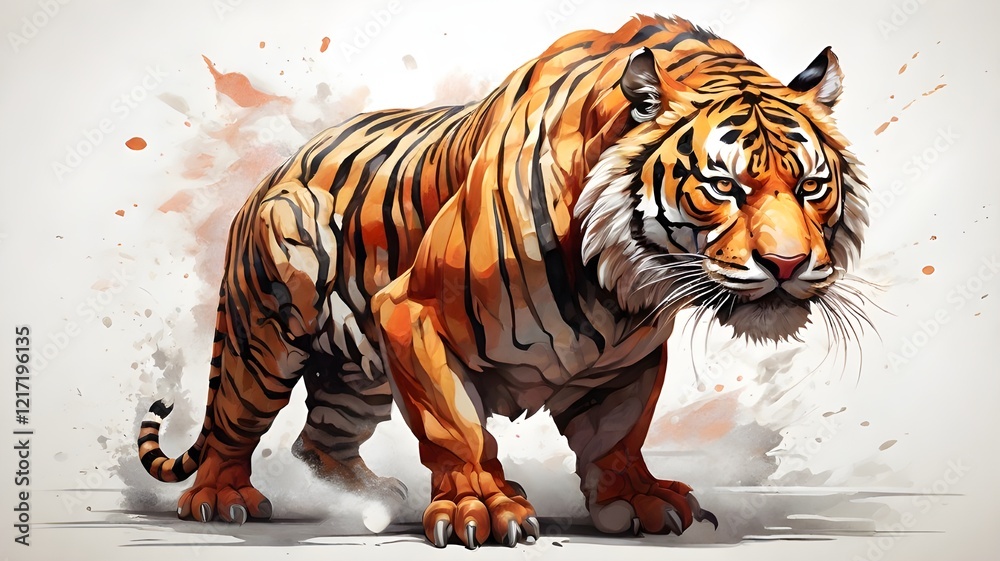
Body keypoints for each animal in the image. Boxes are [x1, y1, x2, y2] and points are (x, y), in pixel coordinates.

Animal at [137, 14, 869, 548]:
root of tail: (276, 169)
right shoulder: (412, 312)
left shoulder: (629, 358)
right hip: (261, 342)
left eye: (811, 186)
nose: (787, 265)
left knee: (318, 437)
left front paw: (639, 499)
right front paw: (481, 509)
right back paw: (224, 499)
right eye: (724, 187)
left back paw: (370, 494)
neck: (626, 283)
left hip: (358, 375)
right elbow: (455, 425)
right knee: (233, 425)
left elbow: (619, 433)